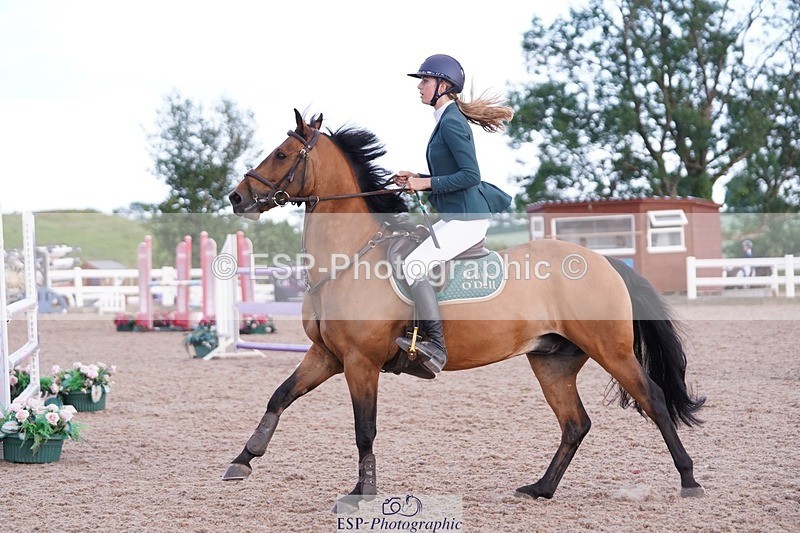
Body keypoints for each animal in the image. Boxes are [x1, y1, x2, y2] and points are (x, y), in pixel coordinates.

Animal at [224, 109, 706, 510]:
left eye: (281, 154)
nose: (236, 198)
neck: (349, 258)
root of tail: (605, 261)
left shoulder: (361, 362)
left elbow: (365, 430)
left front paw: (363, 492)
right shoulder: (326, 356)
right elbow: (280, 396)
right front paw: (243, 460)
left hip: (611, 350)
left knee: (653, 400)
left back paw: (689, 481)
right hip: (552, 360)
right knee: (575, 423)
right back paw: (540, 488)